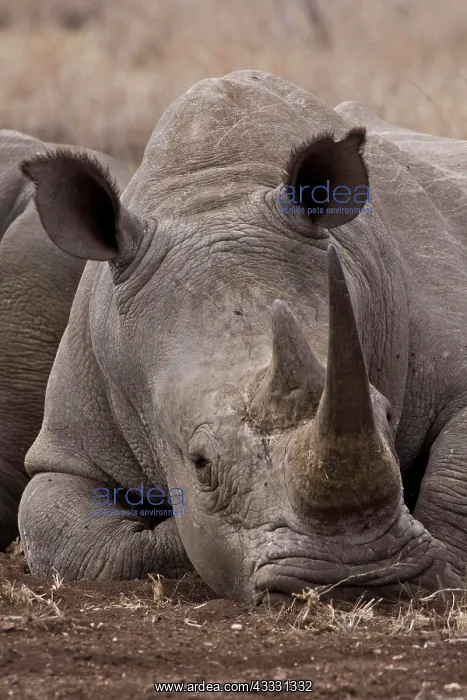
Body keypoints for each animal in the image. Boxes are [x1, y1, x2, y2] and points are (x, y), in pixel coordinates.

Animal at [17, 70, 467, 602]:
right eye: (200, 463)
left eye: (389, 416)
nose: (358, 578)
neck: (213, 191)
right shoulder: (68, 445)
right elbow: (72, 539)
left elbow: (453, 481)